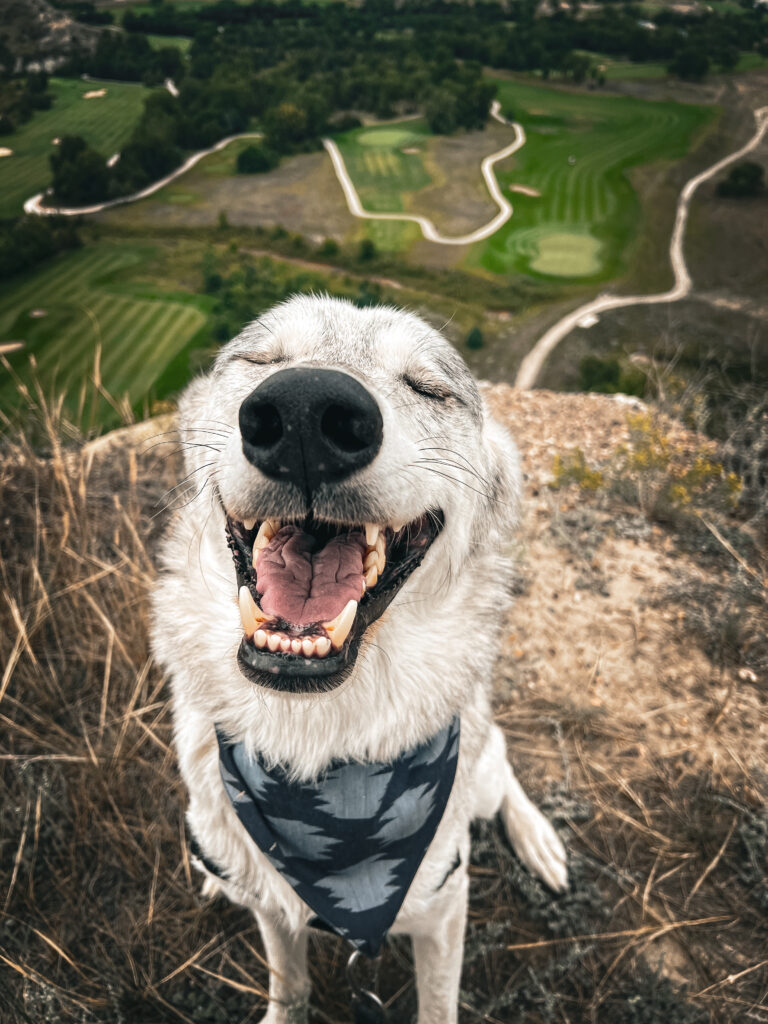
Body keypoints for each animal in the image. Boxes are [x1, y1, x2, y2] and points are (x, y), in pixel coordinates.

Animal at [153, 294, 569, 1024]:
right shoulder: (276, 911)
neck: (320, 745)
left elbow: (438, 1005)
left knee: (503, 765)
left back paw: (539, 840)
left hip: (486, 775)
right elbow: (289, 983)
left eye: (428, 387)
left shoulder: (443, 910)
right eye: (261, 360)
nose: (304, 413)